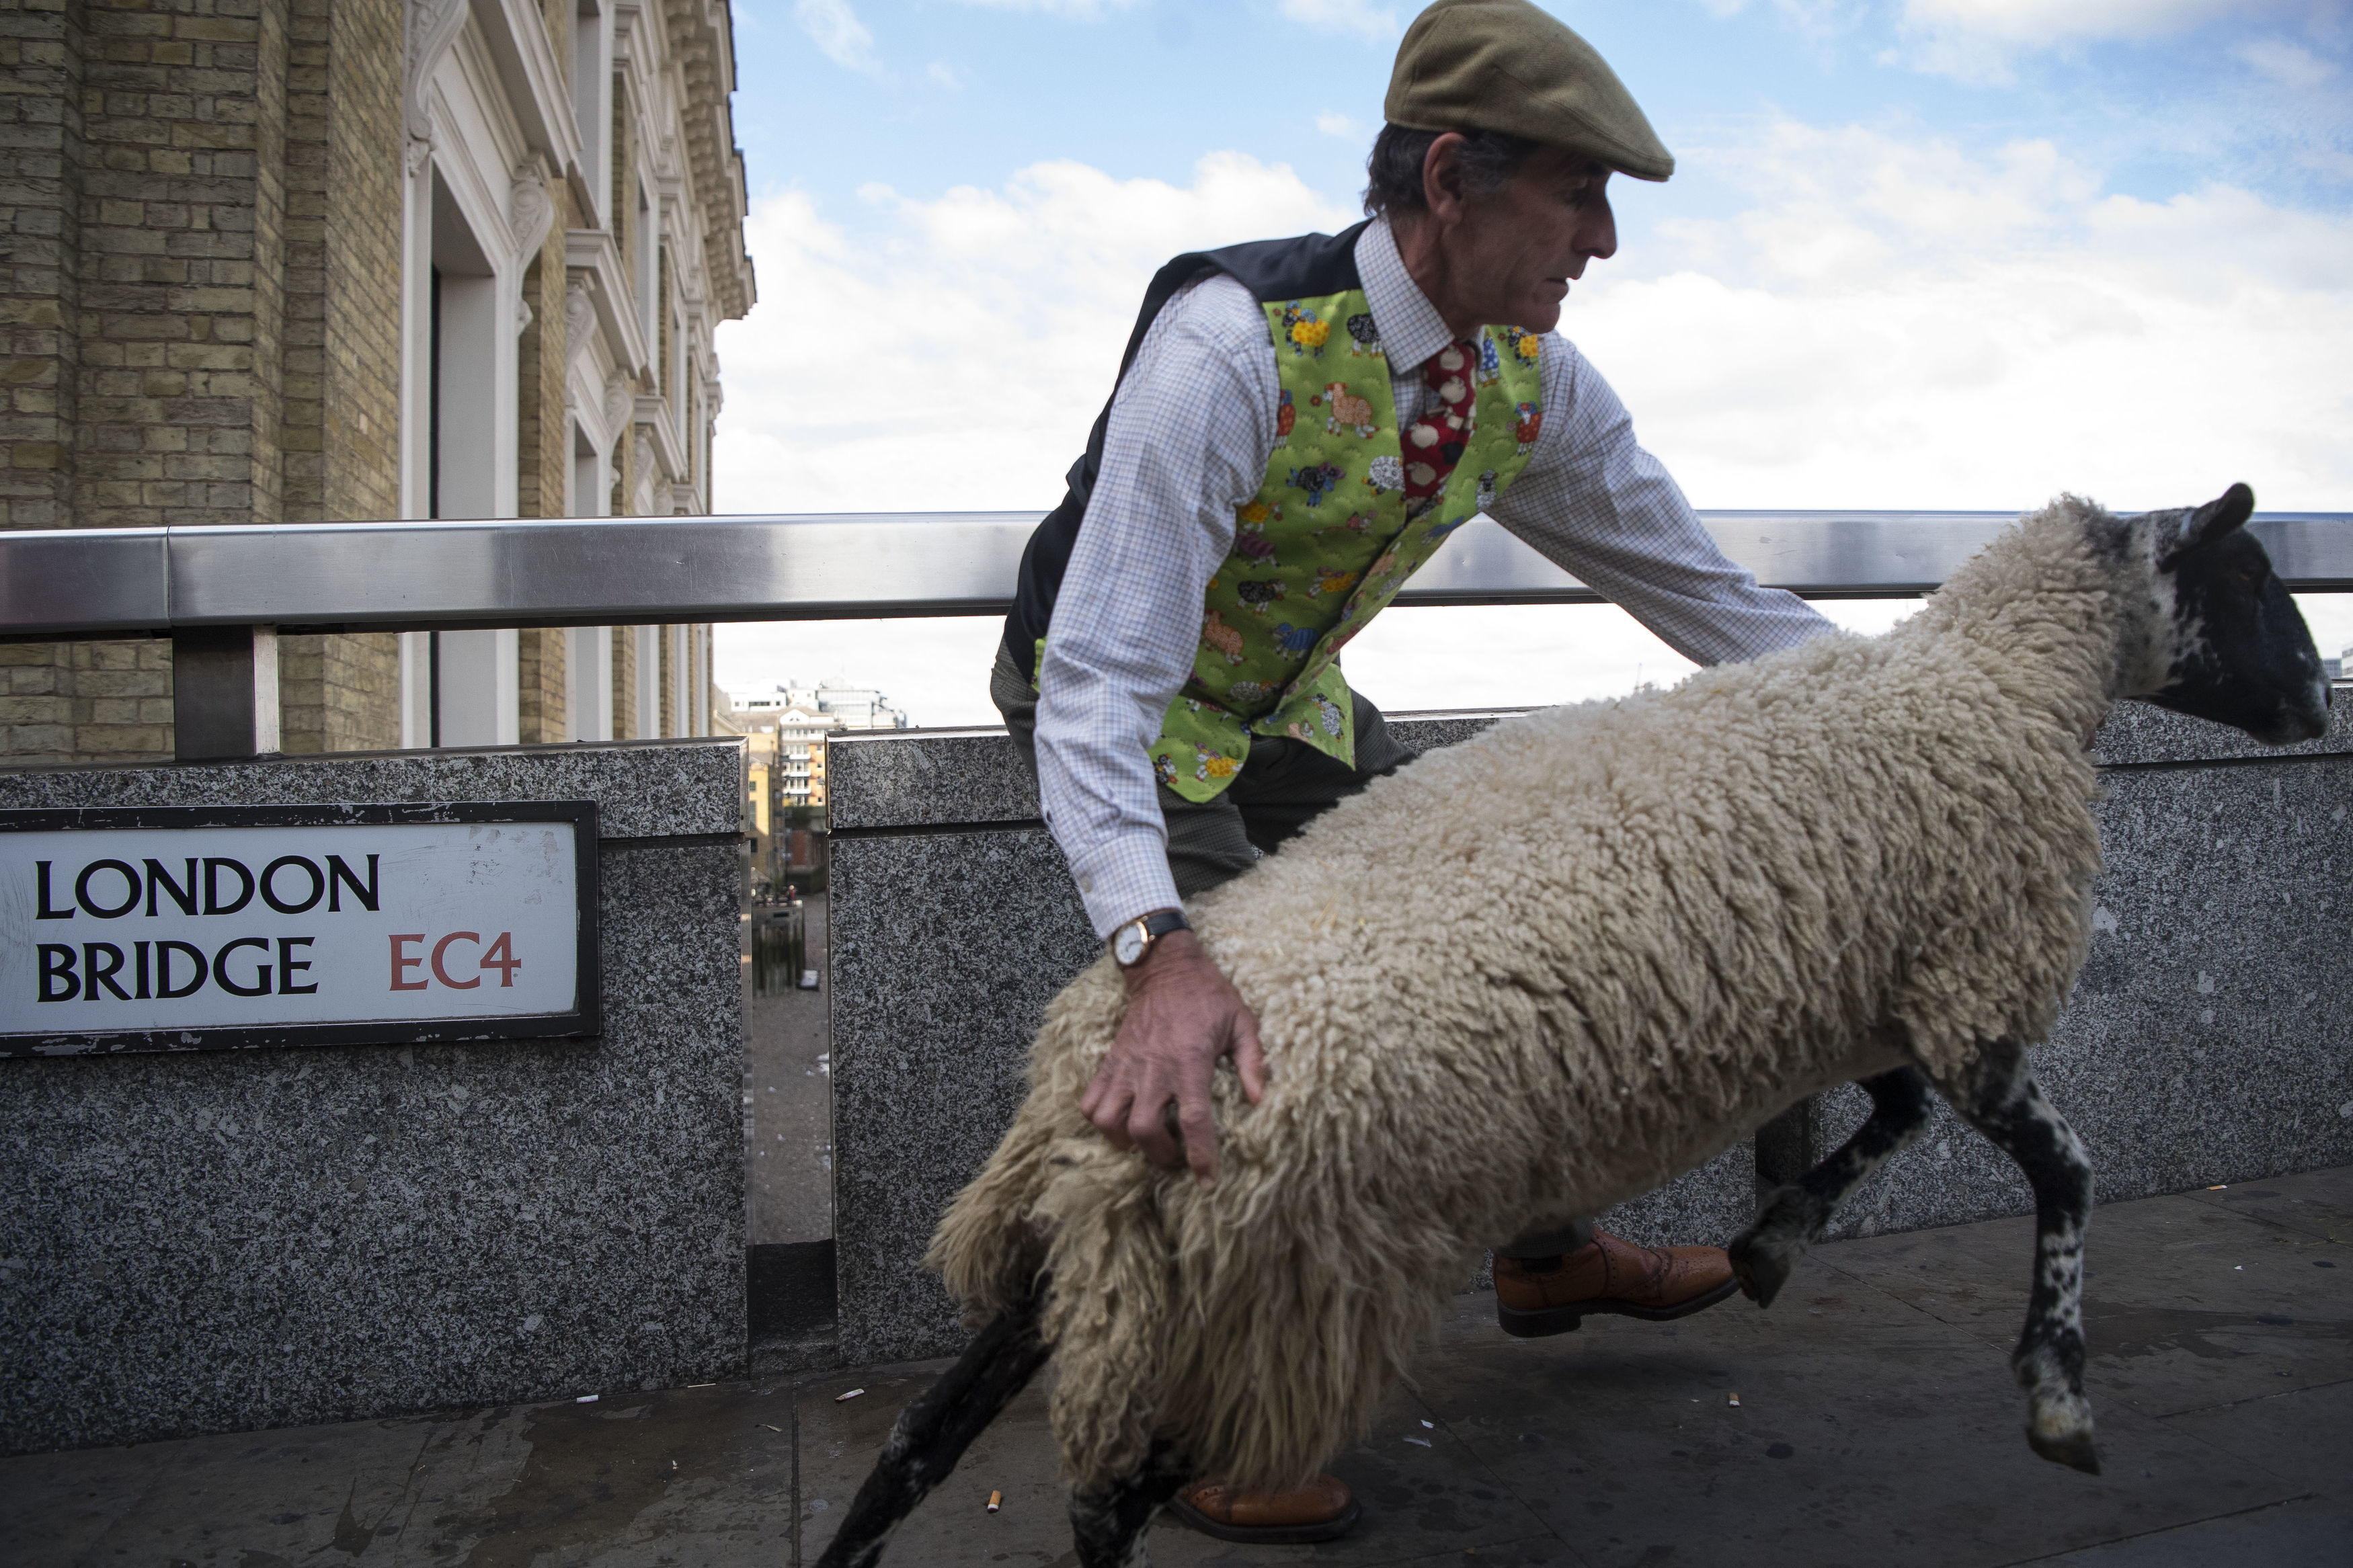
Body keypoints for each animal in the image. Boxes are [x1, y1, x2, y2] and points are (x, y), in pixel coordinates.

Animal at [819, 484, 2325, 1561]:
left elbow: (1891, 1121)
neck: (1999, 676)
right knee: (1103, 1500)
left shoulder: (1890, 989)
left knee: (919, 1442)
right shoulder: (1967, 981)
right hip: (1277, 1281)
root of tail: (1099, 1089)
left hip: (1105, 1269)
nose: (2316, 700)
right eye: (2252, 577)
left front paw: (1768, 1245)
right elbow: (2067, 1173)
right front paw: (2057, 1395)